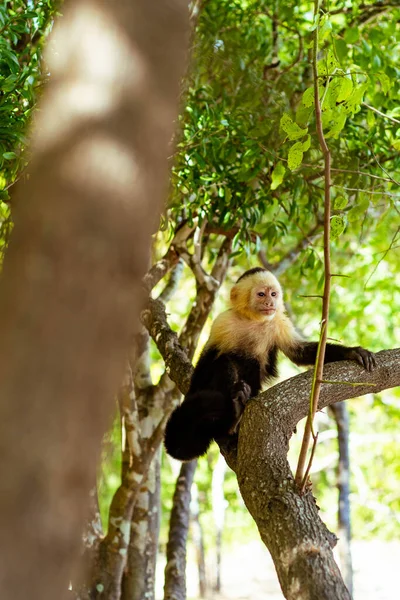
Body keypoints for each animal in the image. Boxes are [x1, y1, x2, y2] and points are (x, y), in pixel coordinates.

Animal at [164, 270, 376, 462]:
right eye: (261, 294)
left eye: (273, 294)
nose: (270, 303)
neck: (252, 320)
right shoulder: (222, 323)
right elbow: (209, 355)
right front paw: (192, 393)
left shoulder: (279, 322)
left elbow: (299, 352)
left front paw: (352, 352)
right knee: (224, 362)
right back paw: (233, 417)